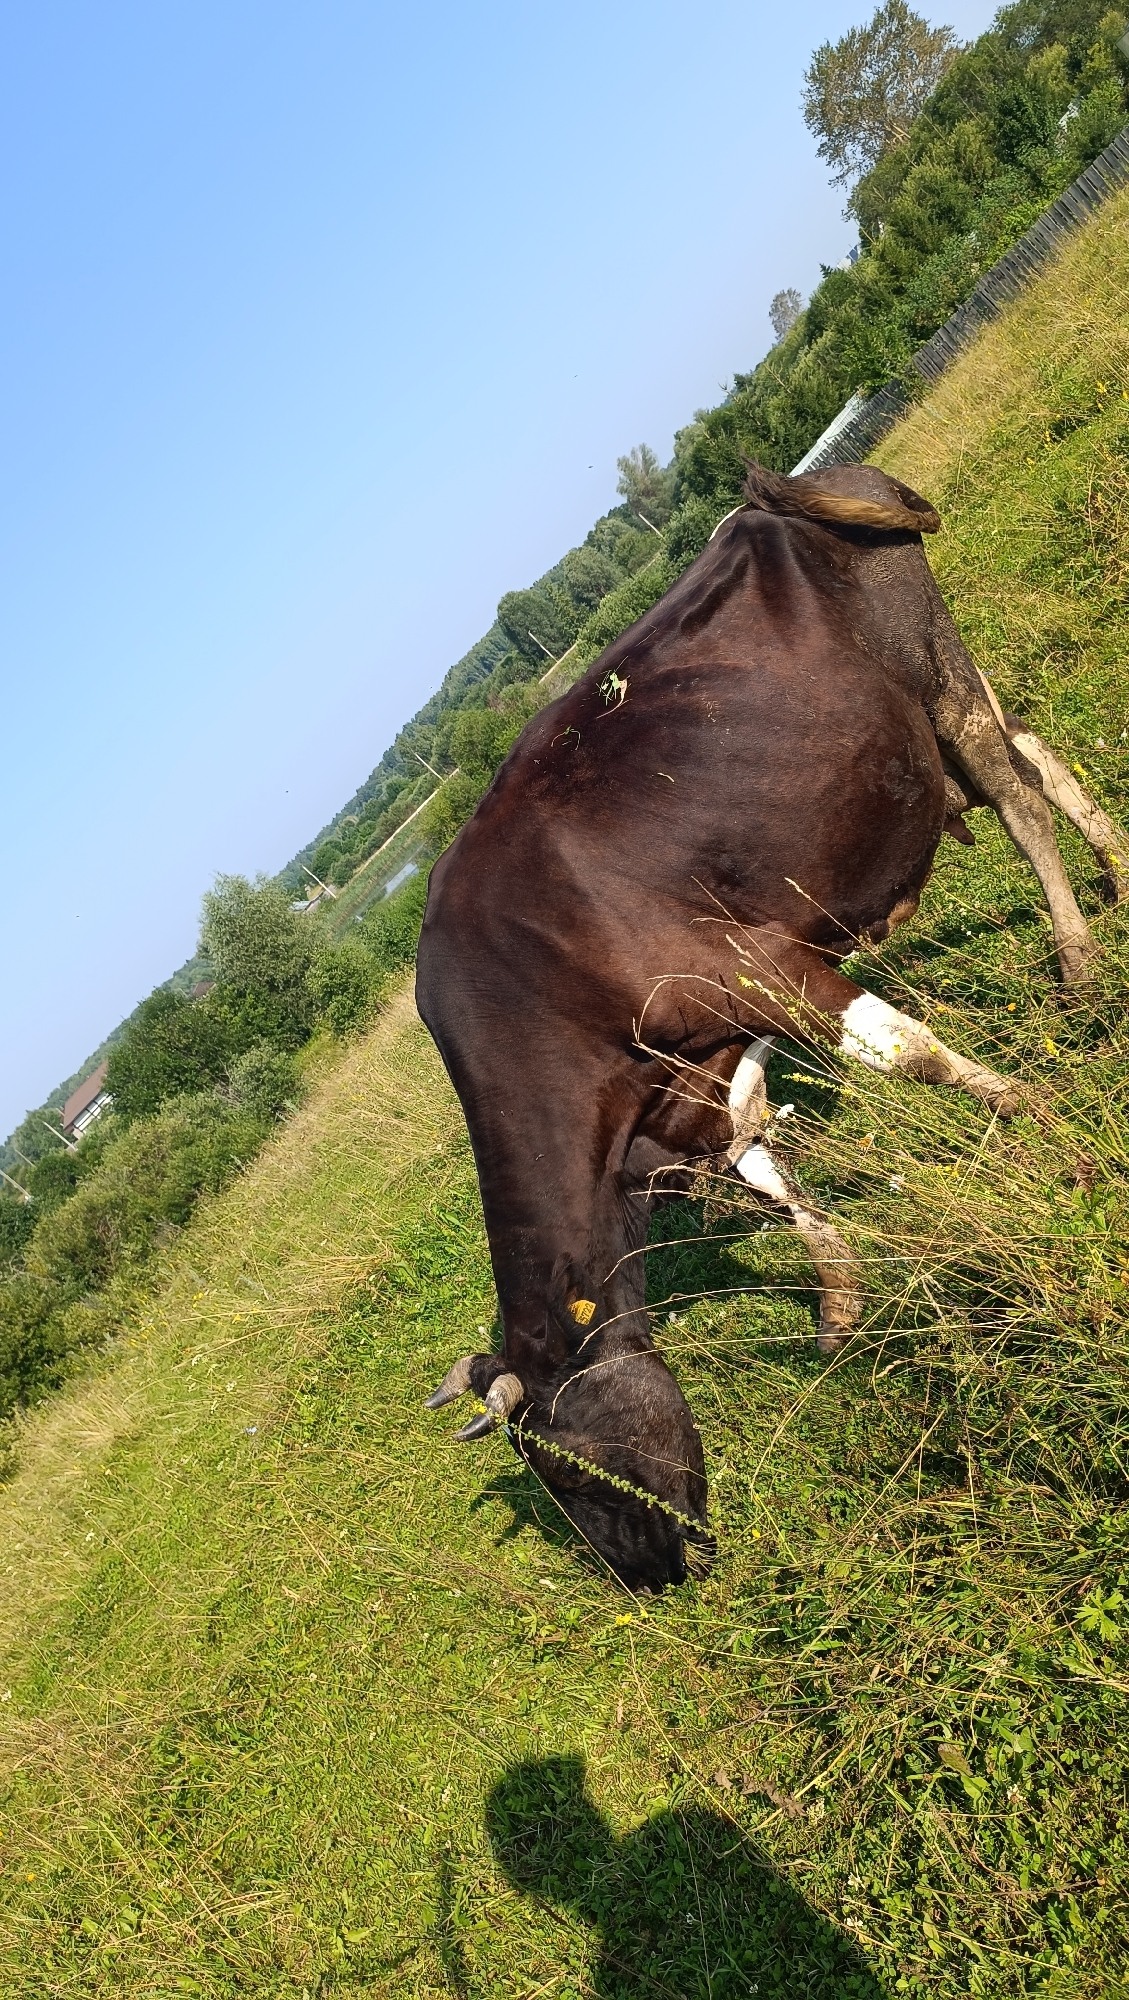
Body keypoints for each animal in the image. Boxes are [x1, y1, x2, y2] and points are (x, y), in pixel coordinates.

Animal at [415, 461, 1125, 1591]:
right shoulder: (682, 1086)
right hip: (922, 713)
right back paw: (1116, 875)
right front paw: (837, 1297)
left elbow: (908, 1054)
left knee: (1014, 792)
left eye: (572, 1470)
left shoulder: (749, 968)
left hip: (929, 667)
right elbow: (764, 1169)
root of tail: (781, 486)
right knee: (1033, 751)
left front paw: (1050, 1137)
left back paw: (1078, 961)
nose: (651, 1579)